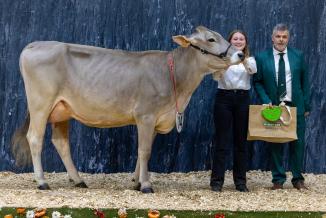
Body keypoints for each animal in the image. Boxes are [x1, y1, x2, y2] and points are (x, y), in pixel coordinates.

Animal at [11, 25, 243, 192]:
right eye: (211, 39)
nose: (240, 54)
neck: (176, 79)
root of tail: (34, 45)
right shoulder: (146, 115)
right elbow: (144, 150)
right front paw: (146, 185)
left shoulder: (156, 119)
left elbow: (144, 150)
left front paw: (137, 182)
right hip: (40, 104)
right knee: (35, 138)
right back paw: (42, 182)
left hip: (62, 110)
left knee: (60, 142)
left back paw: (78, 180)